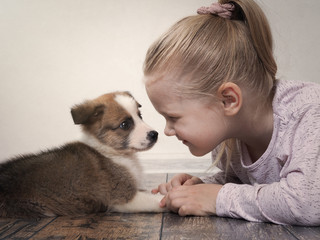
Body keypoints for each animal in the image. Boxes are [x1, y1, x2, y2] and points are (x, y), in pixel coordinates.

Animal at [0, 91, 164, 218]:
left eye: (140, 116)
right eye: (125, 124)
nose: (155, 134)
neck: (113, 153)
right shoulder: (122, 196)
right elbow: (155, 200)